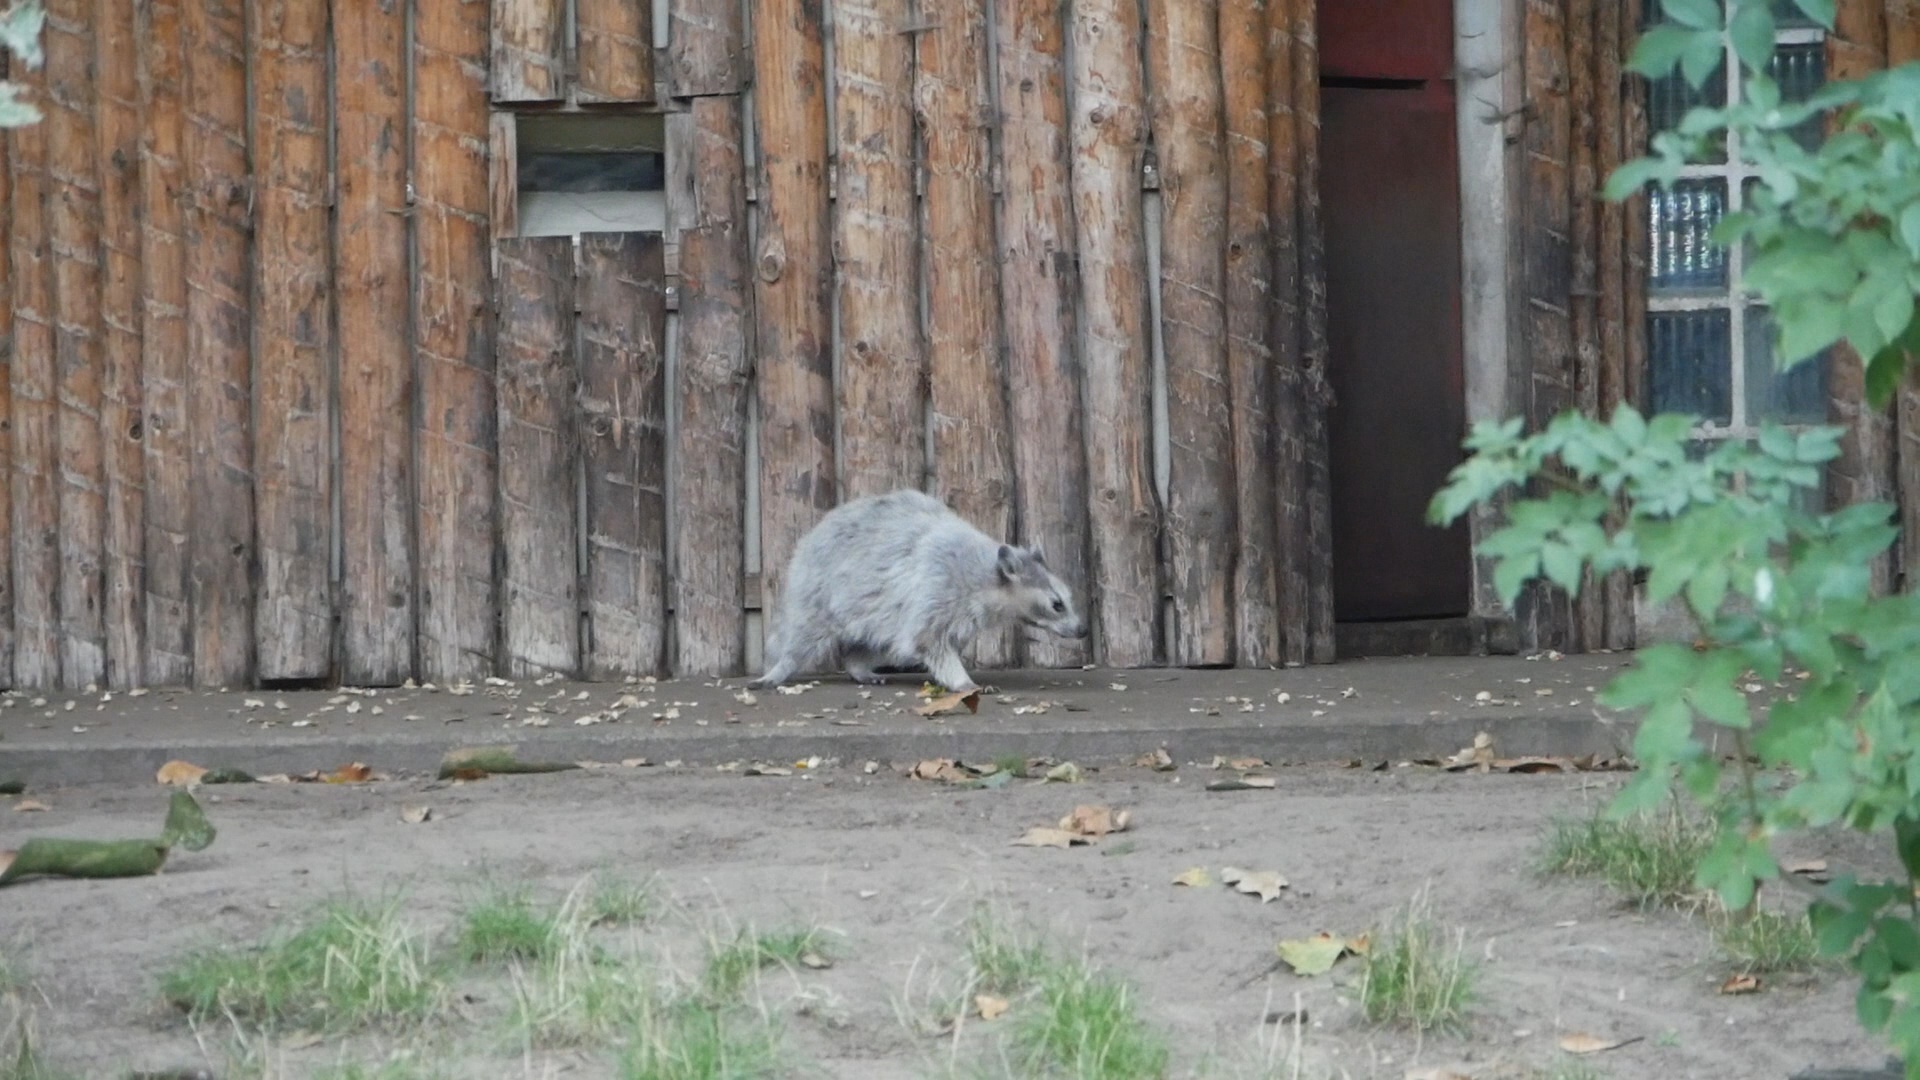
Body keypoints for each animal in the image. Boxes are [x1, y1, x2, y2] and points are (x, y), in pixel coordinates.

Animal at [748, 489, 1089, 693]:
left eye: (1067, 600)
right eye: (1057, 604)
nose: (1083, 629)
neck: (987, 572)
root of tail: (812, 536)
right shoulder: (937, 587)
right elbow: (929, 642)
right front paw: (963, 681)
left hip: (878, 608)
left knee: (879, 640)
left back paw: (858, 666)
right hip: (819, 590)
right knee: (803, 636)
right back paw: (780, 669)